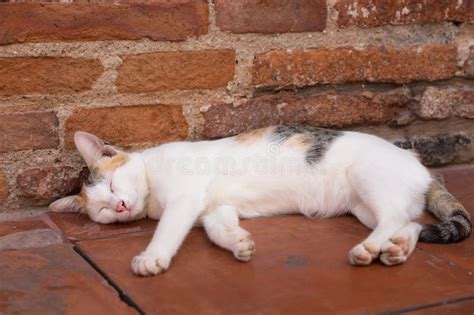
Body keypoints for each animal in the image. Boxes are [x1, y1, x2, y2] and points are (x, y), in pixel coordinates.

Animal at [50, 125, 472, 276]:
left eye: (111, 185)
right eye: (102, 210)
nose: (120, 207)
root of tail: (420, 164)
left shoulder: (185, 198)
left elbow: (168, 230)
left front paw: (151, 257)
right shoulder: (213, 209)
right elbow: (219, 229)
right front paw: (239, 243)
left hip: (369, 179)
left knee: (395, 218)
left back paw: (369, 249)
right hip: (366, 207)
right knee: (409, 221)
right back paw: (396, 249)